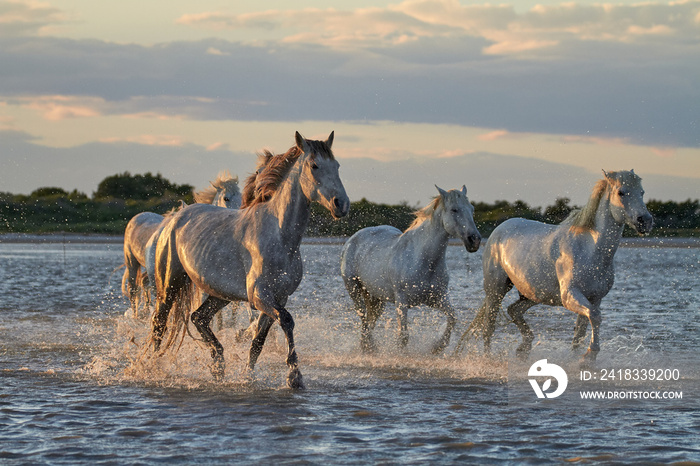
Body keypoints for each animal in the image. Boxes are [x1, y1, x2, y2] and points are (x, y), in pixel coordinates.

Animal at [153, 132, 350, 390]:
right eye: (314, 165)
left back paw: (218, 367)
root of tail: (176, 216)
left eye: (337, 166)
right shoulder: (259, 296)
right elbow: (287, 320)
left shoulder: (278, 297)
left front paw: (248, 377)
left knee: (199, 318)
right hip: (170, 285)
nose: (341, 204)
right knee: (159, 323)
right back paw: (149, 368)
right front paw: (294, 375)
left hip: (220, 294)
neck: (278, 235)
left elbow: (258, 342)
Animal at [340, 186, 482, 354]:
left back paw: (368, 347)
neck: (422, 259)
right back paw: (369, 347)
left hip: (377, 298)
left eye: (472, 209)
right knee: (363, 319)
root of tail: (351, 240)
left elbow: (452, 318)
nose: (475, 240)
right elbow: (403, 336)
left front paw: (437, 347)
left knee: (369, 322)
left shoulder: (437, 298)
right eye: (454, 209)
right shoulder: (401, 301)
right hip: (354, 289)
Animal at [468, 170, 652, 360]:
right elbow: (595, 317)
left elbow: (580, 334)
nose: (645, 221)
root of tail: (499, 230)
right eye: (621, 192)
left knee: (514, 310)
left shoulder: (594, 299)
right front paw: (590, 352)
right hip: (496, 290)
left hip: (533, 294)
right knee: (488, 328)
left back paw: (524, 346)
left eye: (642, 192)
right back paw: (488, 359)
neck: (590, 250)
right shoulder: (570, 295)